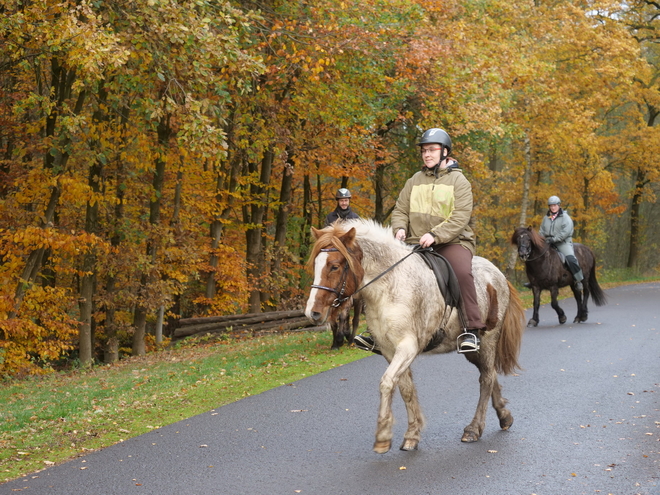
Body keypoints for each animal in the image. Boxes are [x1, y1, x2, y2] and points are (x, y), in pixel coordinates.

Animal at [304, 220, 524, 454]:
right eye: (316, 265)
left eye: (334, 266)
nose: (313, 313)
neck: (390, 286)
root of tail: (498, 274)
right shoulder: (389, 350)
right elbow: (405, 389)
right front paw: (412, 434)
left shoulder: (407, 347)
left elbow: (387, 383)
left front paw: (383, 436)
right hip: (474, 350)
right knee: (489, 374)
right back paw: (504, 416)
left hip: (489, 340)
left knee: (486, 379)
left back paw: (473, 429)